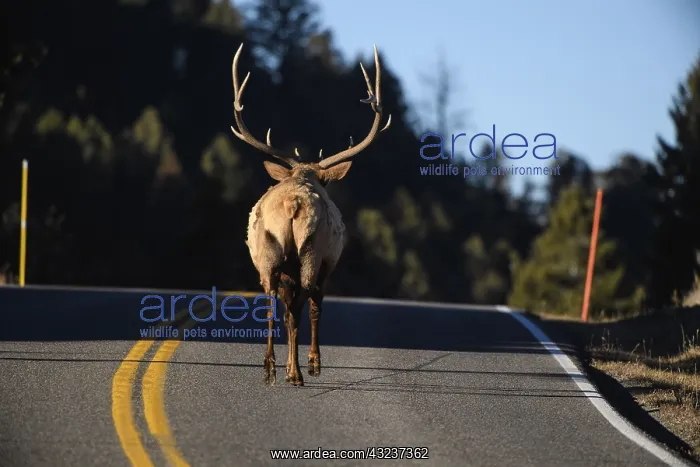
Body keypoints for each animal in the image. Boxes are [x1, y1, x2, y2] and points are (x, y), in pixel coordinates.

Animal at [230, 43, 391, 386]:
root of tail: (293, 204)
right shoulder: (329, 264)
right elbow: (316, 309)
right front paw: (315, 362)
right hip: (311, 253)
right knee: (299, 308)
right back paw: (296, 373)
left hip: (268, 256)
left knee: (271, 305)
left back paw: (270, 369)